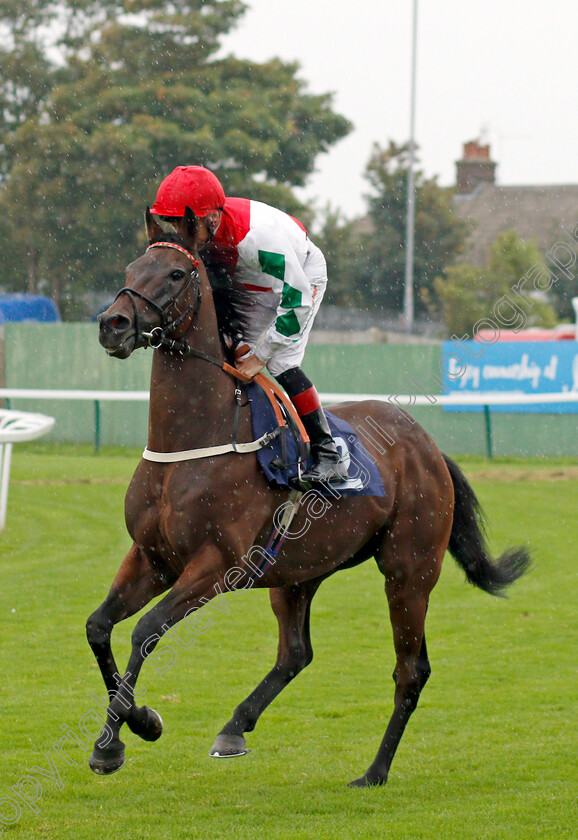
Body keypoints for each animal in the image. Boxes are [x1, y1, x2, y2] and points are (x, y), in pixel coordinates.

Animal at [91, 208, 532, 788]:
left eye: (176, 273)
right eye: (131, 267)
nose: (113, 324)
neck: (191, 441)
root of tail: (427, 445)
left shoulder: (215, 565)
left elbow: (144, 631)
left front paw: (131, 729)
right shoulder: (151, 557)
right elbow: (100, 627)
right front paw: (119, 734)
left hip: (409, 571)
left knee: (410, 670)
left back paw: (374, 771)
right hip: (300, 571)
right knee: (296, 653)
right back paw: (235, 727)